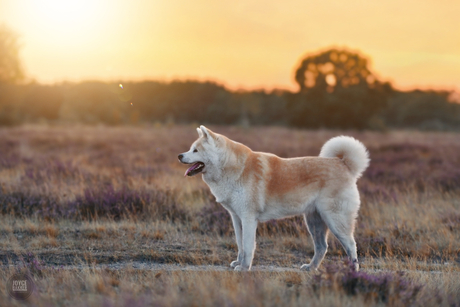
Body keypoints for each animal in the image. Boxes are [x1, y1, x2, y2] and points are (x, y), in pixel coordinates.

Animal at [178, 125, 368, 272]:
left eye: (195, 150)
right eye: (190, 148)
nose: (180, 156)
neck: (232, 167)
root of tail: (344, 164)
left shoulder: (248, 218)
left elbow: (248, 247)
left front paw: (244, 268)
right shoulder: (236, 218)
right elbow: (240, 245)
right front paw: (238, 262)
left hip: (336, 220)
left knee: (351, 246)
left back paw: (353, 272)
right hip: (314, 221)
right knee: (322, 247)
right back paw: (311, 267)